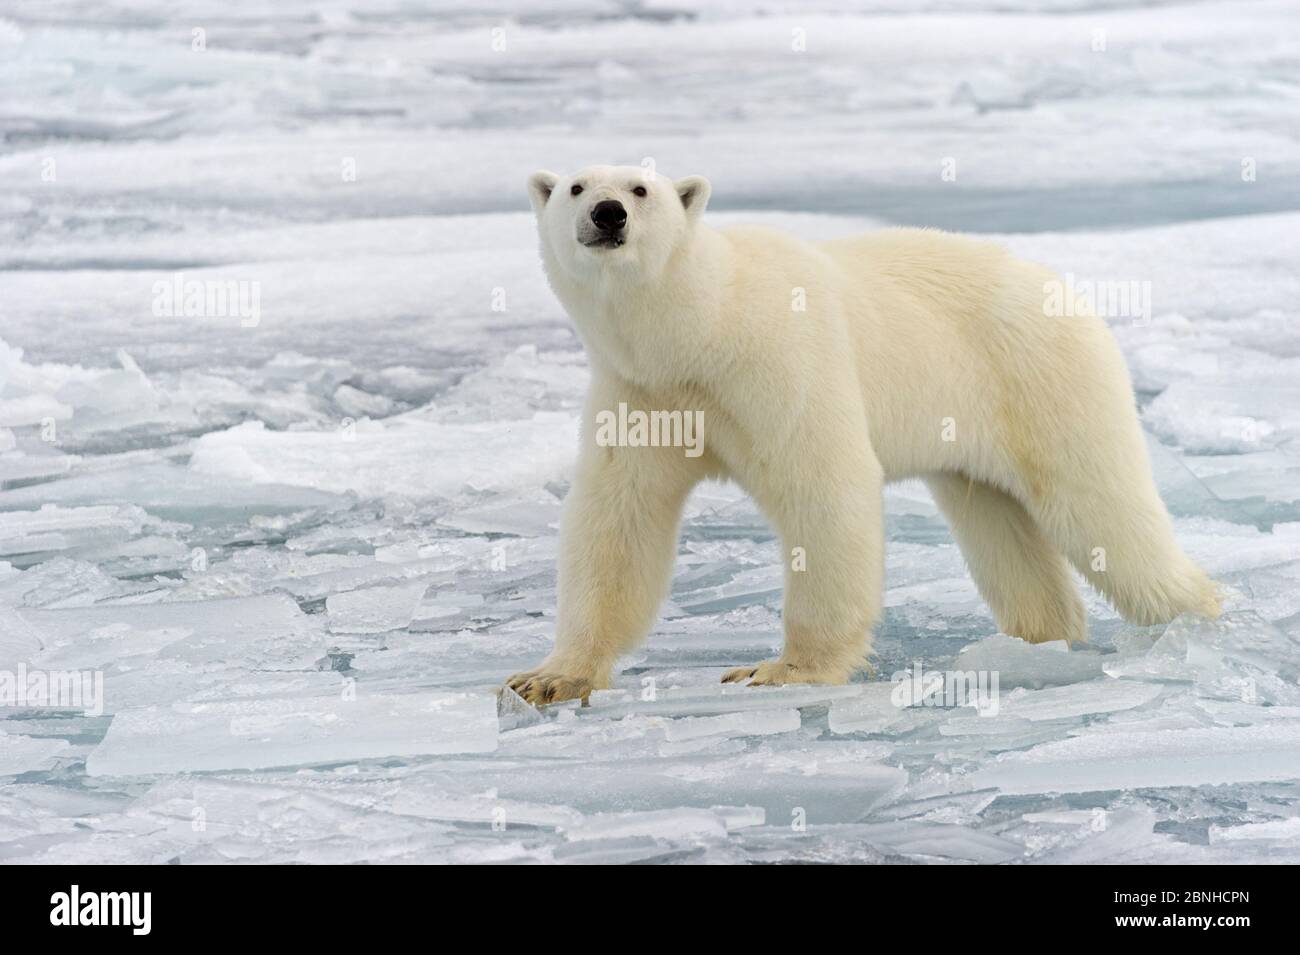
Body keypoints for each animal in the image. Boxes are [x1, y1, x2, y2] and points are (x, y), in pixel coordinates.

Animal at [506, 164, 1220, 706]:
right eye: (576, 187)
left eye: (640, 189)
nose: (607, 214)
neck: (701, 327)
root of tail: (1065, 291)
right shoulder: (643, 391)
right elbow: (617, 520)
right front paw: (547, 679)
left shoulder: (777, 363)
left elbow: (823, 488)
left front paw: (780, 670)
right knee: (998, 522)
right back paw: (1037, 640)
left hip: (1043, 379)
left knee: (1103, 513)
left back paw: (1201, 616)